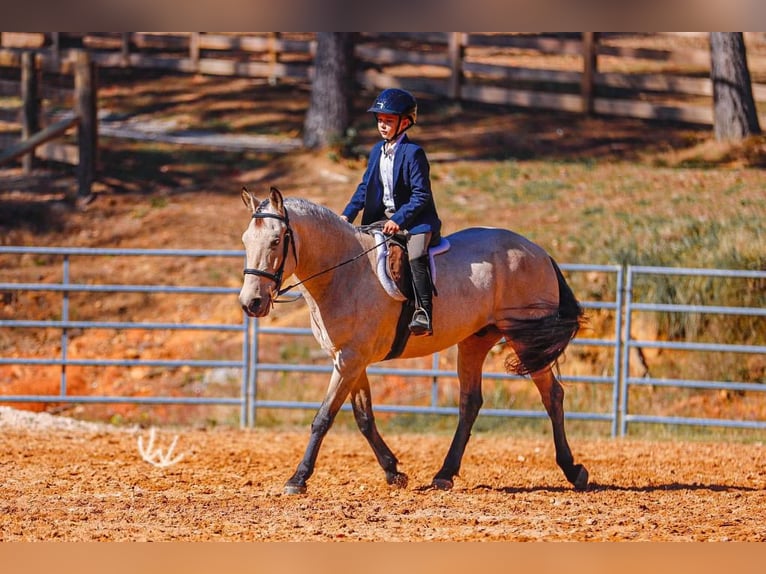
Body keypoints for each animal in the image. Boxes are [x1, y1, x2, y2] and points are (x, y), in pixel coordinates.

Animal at [239, 186, 589, 494]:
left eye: (276, 240)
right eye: (245, 240)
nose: (251, 303)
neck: (343, 273)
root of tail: (539, 252)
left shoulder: (350, 359)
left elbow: (323, 418)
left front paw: (298, 479)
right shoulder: (350, 360)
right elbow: (364, 417)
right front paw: (393, 471)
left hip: (526, 340)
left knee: (552, 396)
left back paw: (573, 470)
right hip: (475, 341)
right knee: (470, 403)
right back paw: (444, 474)